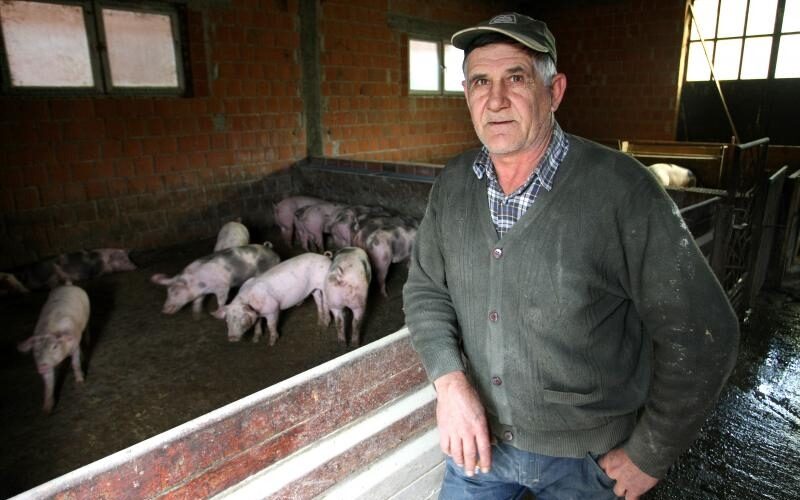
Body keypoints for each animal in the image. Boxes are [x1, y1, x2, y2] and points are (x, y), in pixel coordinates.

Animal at [17, 284, 90, 413]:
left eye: (55, 346)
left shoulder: (74, 345)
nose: (42, 366)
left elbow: (75, 363)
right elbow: (48, 384)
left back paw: (87, 340)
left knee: (86, 328)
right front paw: (47, 410)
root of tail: (68, 285)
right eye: (36, 350)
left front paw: (80, 381)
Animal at [151, 243, 281, 318]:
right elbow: (197, 301)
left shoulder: (222, 287)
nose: (164, 310)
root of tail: (274, 254)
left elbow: (221, 300)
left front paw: (216, 312)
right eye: (168, 293)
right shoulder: (200, 293)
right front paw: (196, 314)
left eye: (176, 292)